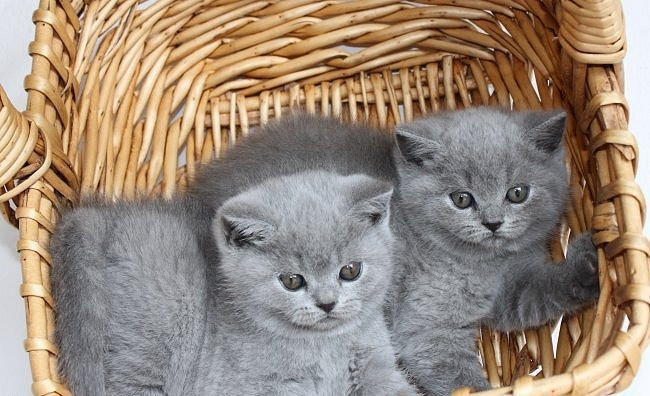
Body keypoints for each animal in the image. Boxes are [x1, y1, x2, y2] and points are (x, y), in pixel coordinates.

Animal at [50, 172, 416, 394]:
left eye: (350, 271)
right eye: (291, 280)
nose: (327, 303)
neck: (325, 347)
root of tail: (104, 216)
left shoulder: (377, 364)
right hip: (147, 343)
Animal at [189, 107, 596, 392]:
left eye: (518, 193)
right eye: (461, 199)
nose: (493, 223)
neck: (485, 265)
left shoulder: (512, 290)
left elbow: (538, 295)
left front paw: (592, 262)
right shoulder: (425, 330)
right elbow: (457, 374)